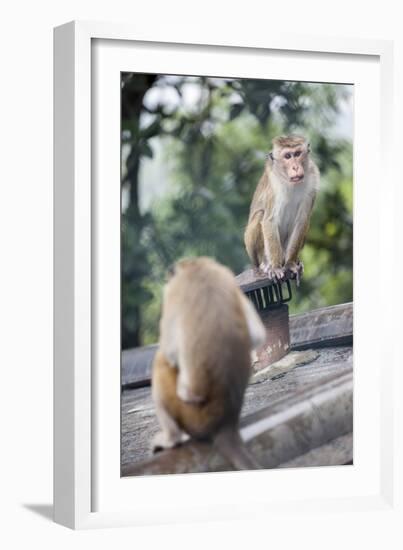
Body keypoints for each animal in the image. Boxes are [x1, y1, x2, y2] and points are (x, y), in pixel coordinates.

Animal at [152, 258, 266, 470]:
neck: (196, 267)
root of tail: (226, 422)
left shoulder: (174, 291)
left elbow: (169, 353)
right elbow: (257, 336)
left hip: (193, 417)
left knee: (161, 364)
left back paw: (171, 439)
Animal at [245, 136, 320, 286]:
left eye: (297, 154)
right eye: (287, 156)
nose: (295, 167)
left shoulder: (312, 179)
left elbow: (302, 220)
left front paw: (290, 263)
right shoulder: (274, 186)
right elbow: (269, 220)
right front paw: (275, 267)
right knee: (260, 215)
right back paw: (266, 265)